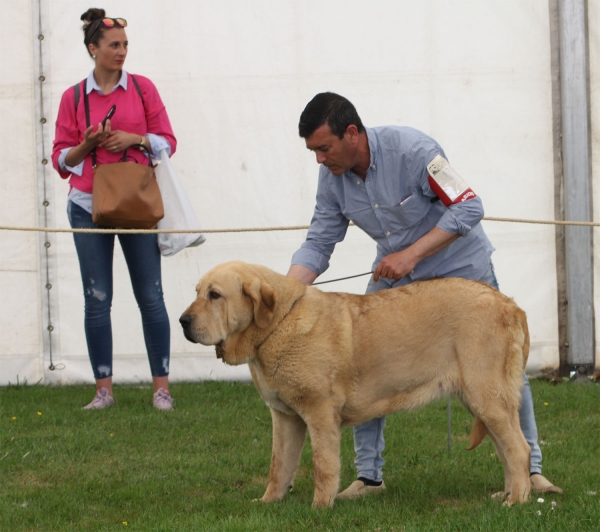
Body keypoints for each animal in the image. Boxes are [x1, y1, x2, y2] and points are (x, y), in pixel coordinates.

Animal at [179, 260, 528, 508]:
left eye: (215, 295)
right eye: (196, 292)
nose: (183, 321)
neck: (277, 325)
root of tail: (510, 303)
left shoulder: (319, 412)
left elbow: (323, 463)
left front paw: (320, 507)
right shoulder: (285, 417)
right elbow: (279, 465)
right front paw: (268, 502)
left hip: (487, 395)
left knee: (518, 448)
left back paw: (517, 500)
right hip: (481, 402)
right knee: (505, 448)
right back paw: (506, 493)